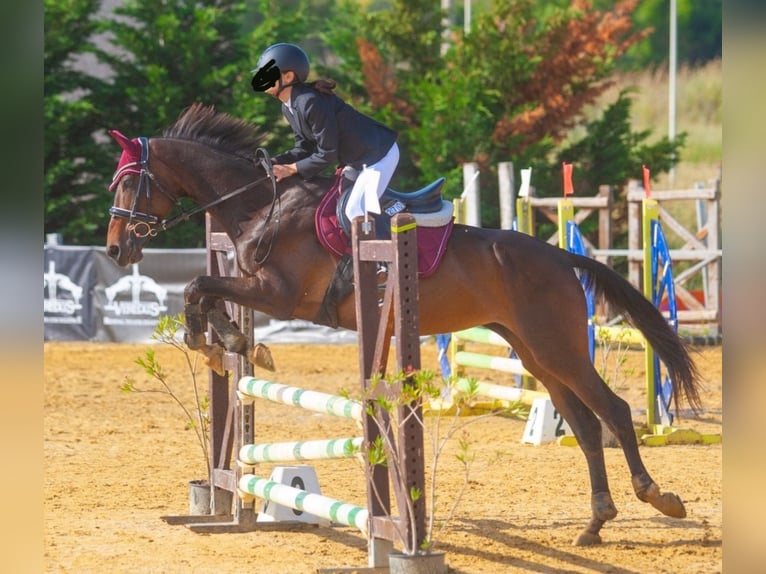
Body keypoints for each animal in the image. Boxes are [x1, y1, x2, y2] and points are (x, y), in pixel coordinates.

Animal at [105, 103, 704, 548]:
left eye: (129, 185)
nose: (115, 250)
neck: (262, 204)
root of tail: (561, 257)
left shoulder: (279, 295)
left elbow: (199, 286)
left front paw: (223, 341)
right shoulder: (255, 285)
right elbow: (202, 289)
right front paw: (220, 342)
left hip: (559, 348)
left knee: (614, 412)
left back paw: (658, 498)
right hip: (535, 352)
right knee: (582, 425)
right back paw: (595, 523)